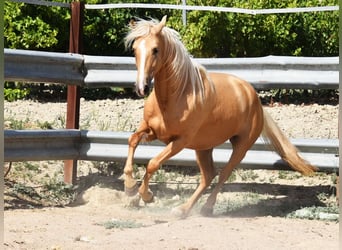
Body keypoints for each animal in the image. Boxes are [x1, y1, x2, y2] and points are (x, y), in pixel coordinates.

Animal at [122, 16, 316, 218]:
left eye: (155, 49)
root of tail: (254, 98)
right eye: (135, 49)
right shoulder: (151, 129)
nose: (141, 87)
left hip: (241, 146)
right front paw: (130, 189)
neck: (175, 97)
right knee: (208, 176)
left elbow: (153, 163)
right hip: (203, 147)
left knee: (223, 174)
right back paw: (182, 209)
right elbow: (132, 140)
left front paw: (146, 195)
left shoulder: (180, 141)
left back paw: (205, 208)